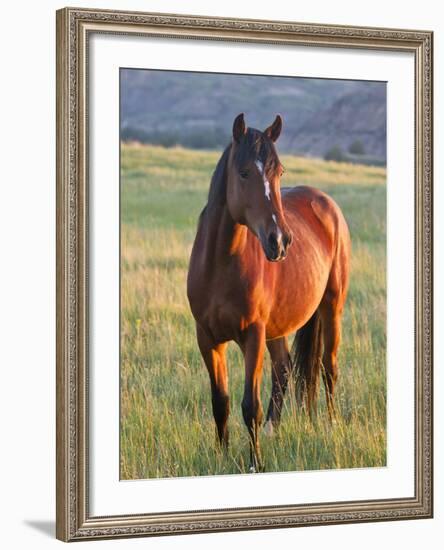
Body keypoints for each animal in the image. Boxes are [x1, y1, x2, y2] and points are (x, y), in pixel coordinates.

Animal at [186, 114, 348, 472]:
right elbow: (221, 402)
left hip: (331, 307)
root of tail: (326, 202)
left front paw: (255, 464)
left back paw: (331, 426)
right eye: (244, 172)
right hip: (278, 327)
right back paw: (276, 430)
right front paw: (222, 457)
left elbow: (250, 406)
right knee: (285, 368)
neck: (220, 264)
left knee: (328, 368)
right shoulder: (207, 337)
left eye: (279, 172)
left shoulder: (253, 336)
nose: (280, 241)